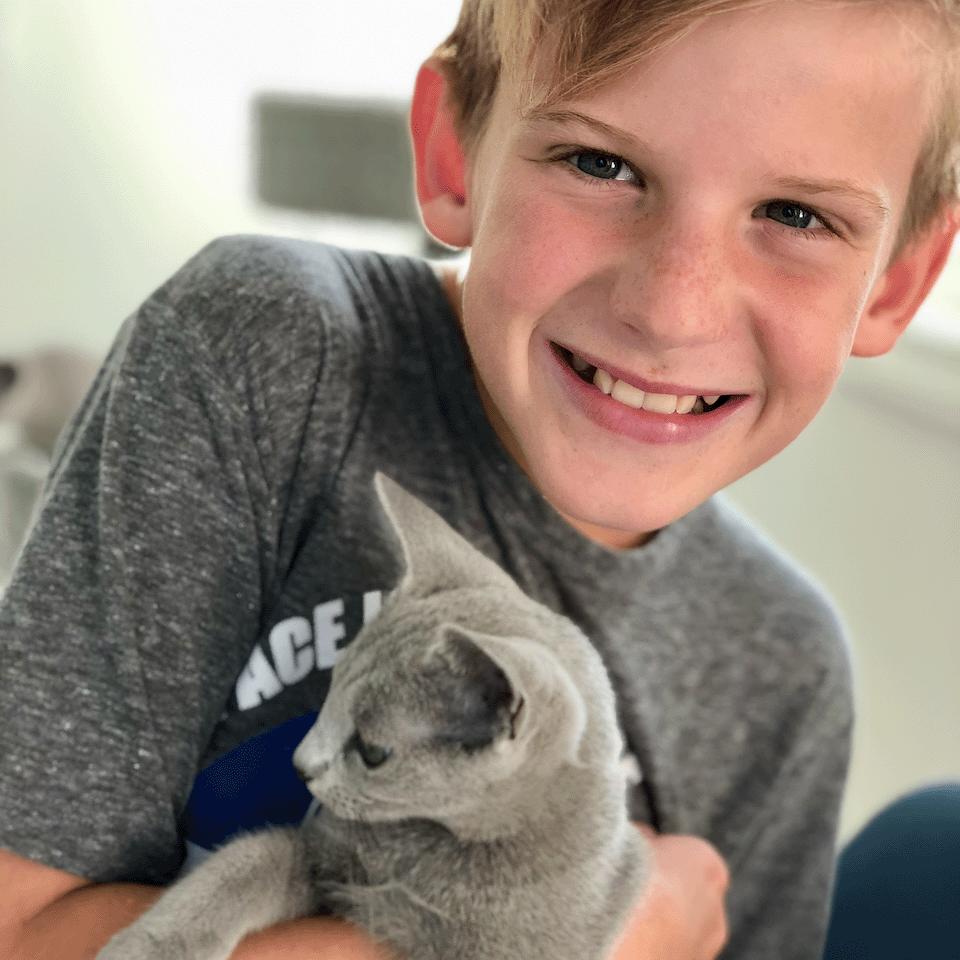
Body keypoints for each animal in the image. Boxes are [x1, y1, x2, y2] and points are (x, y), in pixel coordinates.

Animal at [95, 474, 652, 960]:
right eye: (331, 692)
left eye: (373, 752)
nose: (300, 765)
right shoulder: (319, 857)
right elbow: (246, 861)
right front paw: (150, 946)